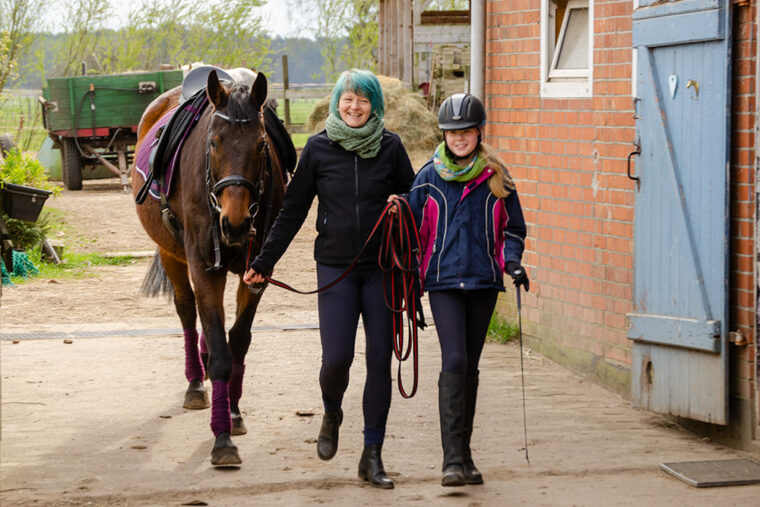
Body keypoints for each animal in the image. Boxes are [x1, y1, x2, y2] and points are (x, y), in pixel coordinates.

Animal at [131, 71, 284, 468]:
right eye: (213, 143)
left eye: (261, 146)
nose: (235, 222)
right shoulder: (203, 268)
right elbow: (219, 354)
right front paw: (223, 439)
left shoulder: (256, 274)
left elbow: (237, 343)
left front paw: (232, 413)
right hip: (172, 253)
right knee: (187, 311)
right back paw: (195, 383)